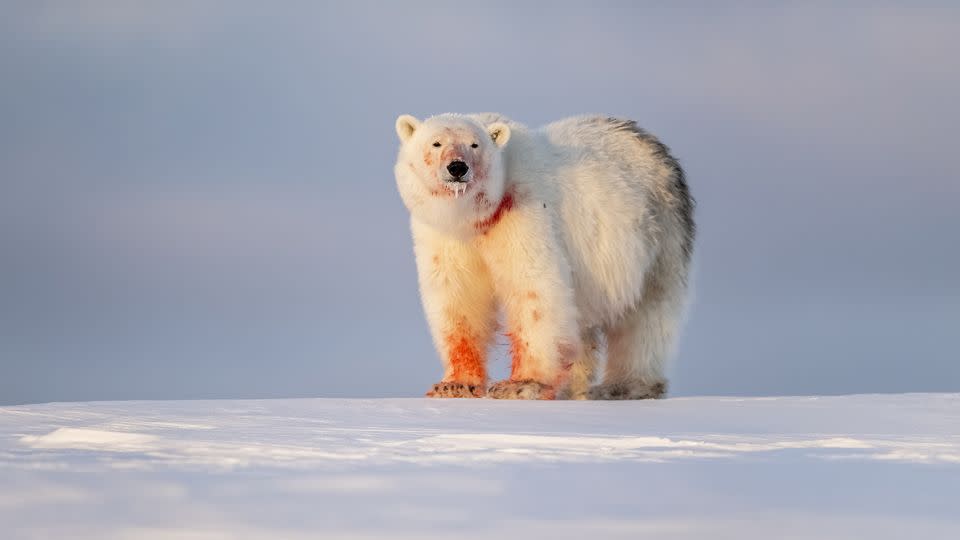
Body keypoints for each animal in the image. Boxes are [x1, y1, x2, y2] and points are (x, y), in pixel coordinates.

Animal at [394, 114, 692, 398]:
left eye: (475, 144)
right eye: (436, 143)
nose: (457, 167)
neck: (475, 218)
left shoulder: (523, 211)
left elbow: (534, 290)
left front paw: (520, 385)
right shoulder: (445, 235)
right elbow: (458, 295)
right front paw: (454, 385)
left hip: (658, 237)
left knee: (646, 316)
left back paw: (625, 385)